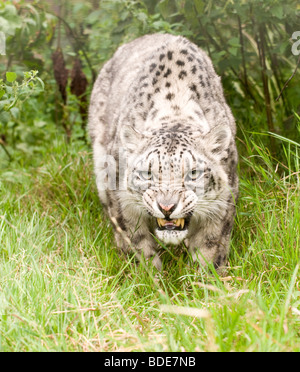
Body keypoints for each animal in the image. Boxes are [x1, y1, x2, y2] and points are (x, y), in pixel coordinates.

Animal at [88, 33, 238, 272]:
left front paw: (206, 278)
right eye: (147, 173)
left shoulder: (223, 203)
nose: (167, 207)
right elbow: (136, 244)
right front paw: (147, 276)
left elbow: (211, 247)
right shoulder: (121, 201)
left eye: (193, 173)